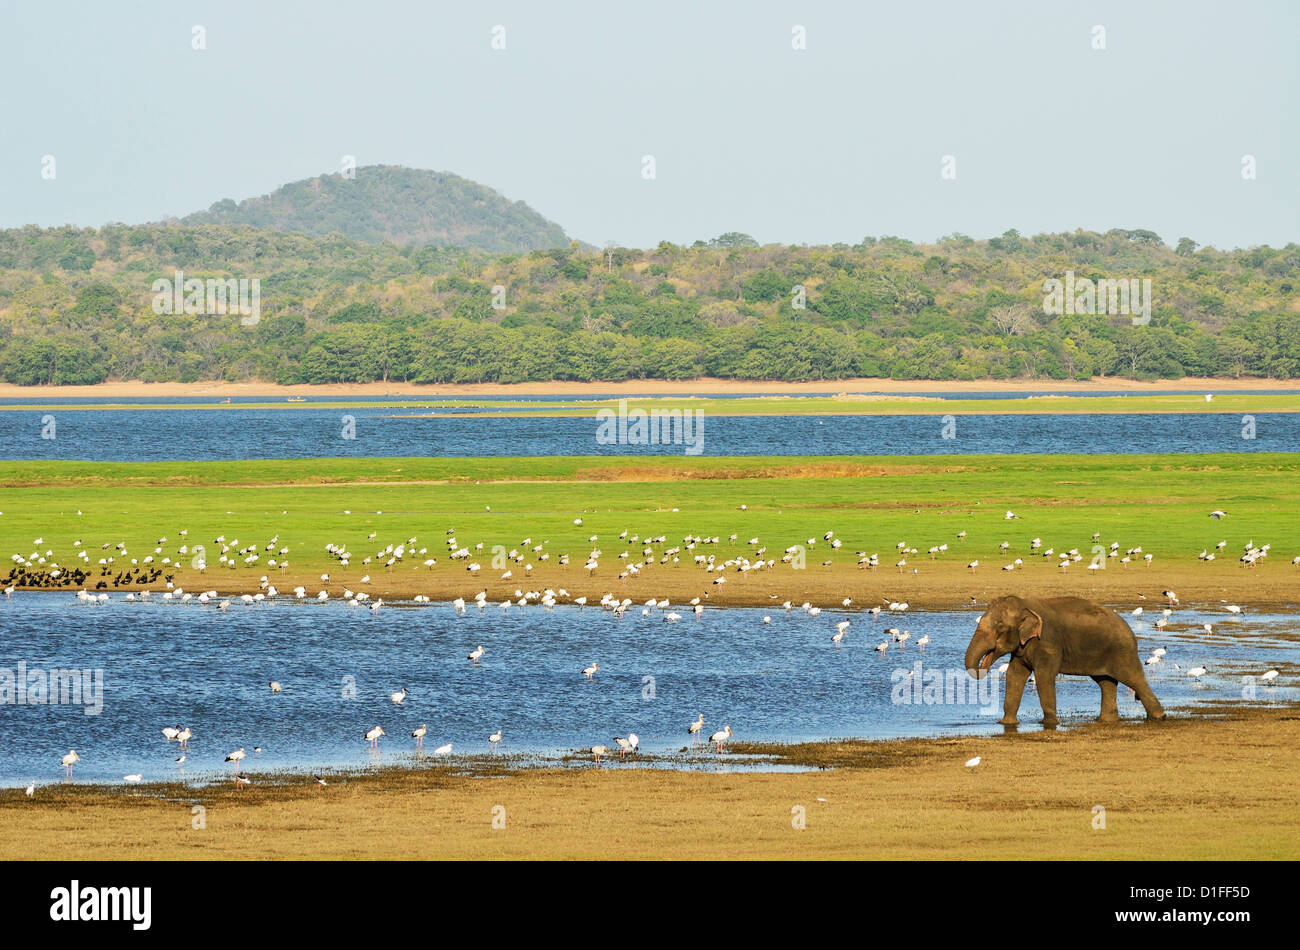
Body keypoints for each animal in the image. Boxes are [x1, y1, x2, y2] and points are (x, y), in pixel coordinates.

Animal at [967, 595, 1170, 727]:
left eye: (1000, 627)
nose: (984, 665)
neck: (1025, 604)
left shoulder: (1048, 642)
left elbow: (1044, 677)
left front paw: (1049, 723)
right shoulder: (1022, 648)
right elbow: (1014, 675)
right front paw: (1006, 723)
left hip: (1122, 651)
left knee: (1134, 678)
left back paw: (1159, 717)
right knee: (1105, 682)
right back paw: (1107, 720)